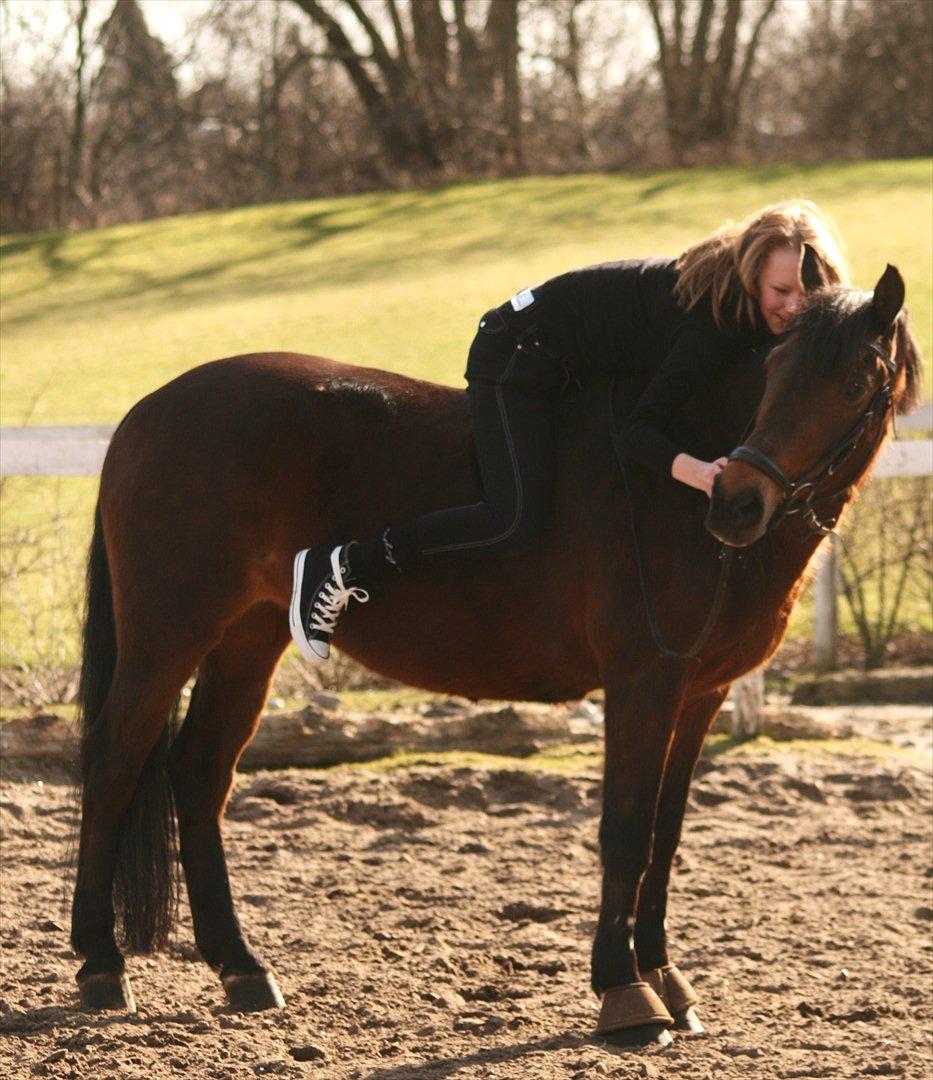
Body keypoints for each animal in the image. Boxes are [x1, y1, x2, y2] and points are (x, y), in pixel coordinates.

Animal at [71, 263, 920, 1045]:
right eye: (773, 371)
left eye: (851, 382)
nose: (736, 501)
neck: (671, 483)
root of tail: (145, 414)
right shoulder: (641, 683)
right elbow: (624, 832)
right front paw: (624, 994)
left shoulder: (697, 695)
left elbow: (665, 835)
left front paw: (666, 980)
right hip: (164, 638)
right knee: (114, 763)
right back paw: (100, 966)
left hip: (246, 642)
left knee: (198, 773)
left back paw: (241, 967)